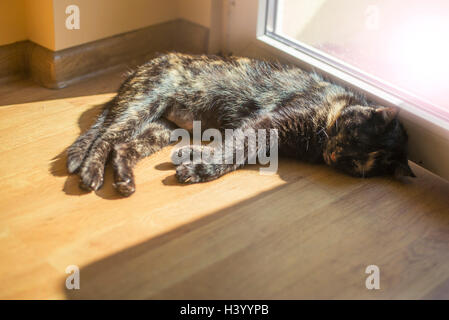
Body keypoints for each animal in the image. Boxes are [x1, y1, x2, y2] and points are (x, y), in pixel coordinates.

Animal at [68, 51, 414, 196]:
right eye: (354, 137)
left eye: (354, 164)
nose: (333, 155)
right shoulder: (267, 123)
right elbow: (233, 152)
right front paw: (198, 170)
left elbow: (229, 151)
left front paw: (193, 160)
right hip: (144, 103)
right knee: (104, 137)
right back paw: (90, 172)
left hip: (161, 129)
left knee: (121, 146)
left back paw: (125, 180)